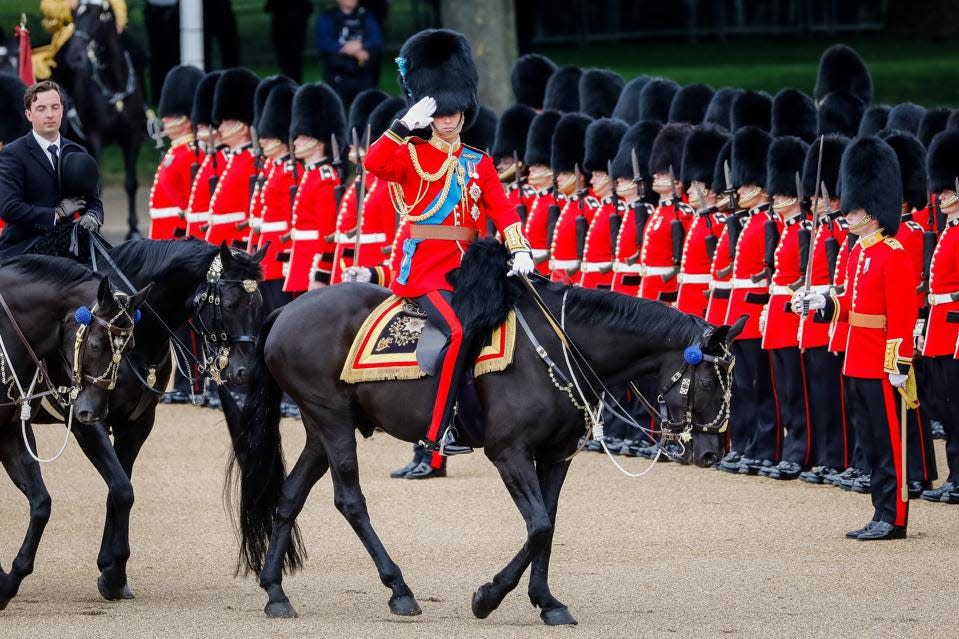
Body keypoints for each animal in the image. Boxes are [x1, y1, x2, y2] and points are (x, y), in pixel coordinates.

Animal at [0, 256, 151, 608]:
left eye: (131, 346)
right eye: (95, 344)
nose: (92, 413)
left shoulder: (10, 432)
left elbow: (42, 503)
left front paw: (8, 581)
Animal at [54, 1, 147, 239]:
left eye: (99, 15)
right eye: (75, 15)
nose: (75, 57)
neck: (113, 84)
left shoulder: (132, 139)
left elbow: (131, 183)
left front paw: (134, 229)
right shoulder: (95, 139)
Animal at [231, 242, 744, 628]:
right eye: (708, 379)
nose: (711, 452)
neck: (560, 346)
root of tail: (287, 310)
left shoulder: (555, 456)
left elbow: (547, 525)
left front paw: (547, 602)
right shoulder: (508, 452)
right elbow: (538, 526)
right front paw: (488, 597)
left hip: (322, 424)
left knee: (290, 494)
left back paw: (275, 591)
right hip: (332, 419)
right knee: (350, 500)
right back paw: (399, 589)